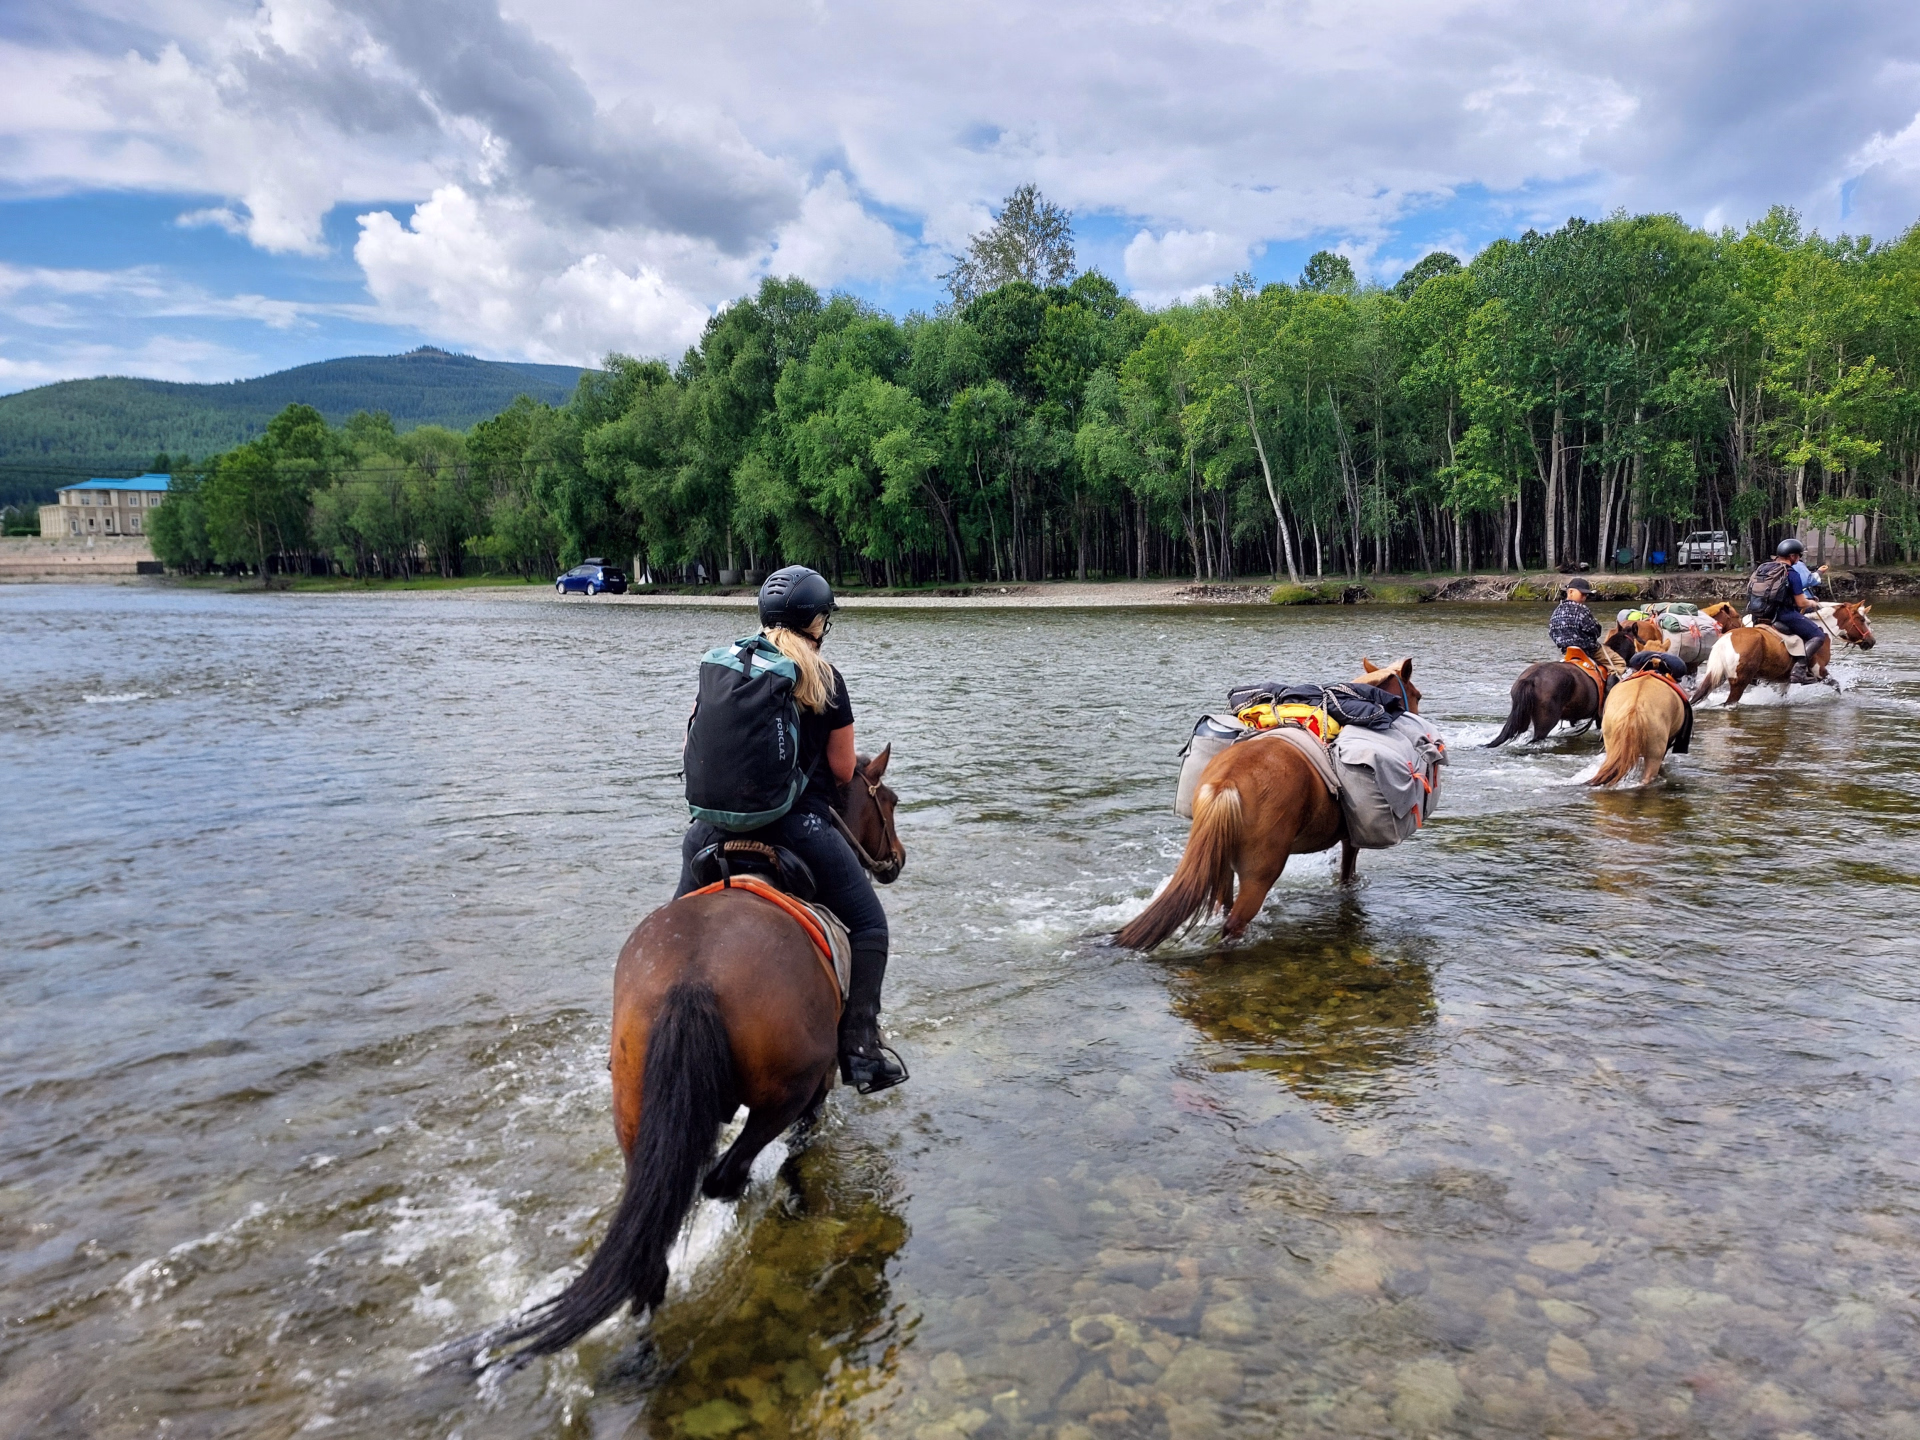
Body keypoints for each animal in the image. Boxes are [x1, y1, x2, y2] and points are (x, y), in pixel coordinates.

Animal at [472, 748, 906, 1367]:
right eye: (887, 800)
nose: (896, 859)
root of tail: (691, 978)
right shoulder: (817, 1086)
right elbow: (801, 1151)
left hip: (635, 1113)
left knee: (648, 1246)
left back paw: (642, 1357)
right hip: (783, 1091)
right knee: (724, 1176)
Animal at [1114, 658, 1420, 951]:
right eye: (1417, 694)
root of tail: (1226, 784)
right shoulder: (1350, 841)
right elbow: (1347, 878)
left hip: (1222, 865)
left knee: (1223, 908)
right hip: (1259, 874)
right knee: (1234, 924)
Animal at [1691, 603, 1876, 706]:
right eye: (1862, 620)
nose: (1871, 641)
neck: (1823, 630)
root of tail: (1726, 639)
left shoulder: (1784, 681)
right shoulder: (1819, 671)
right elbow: (1837, 686)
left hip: (1717, 677)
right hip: (1739, 682)